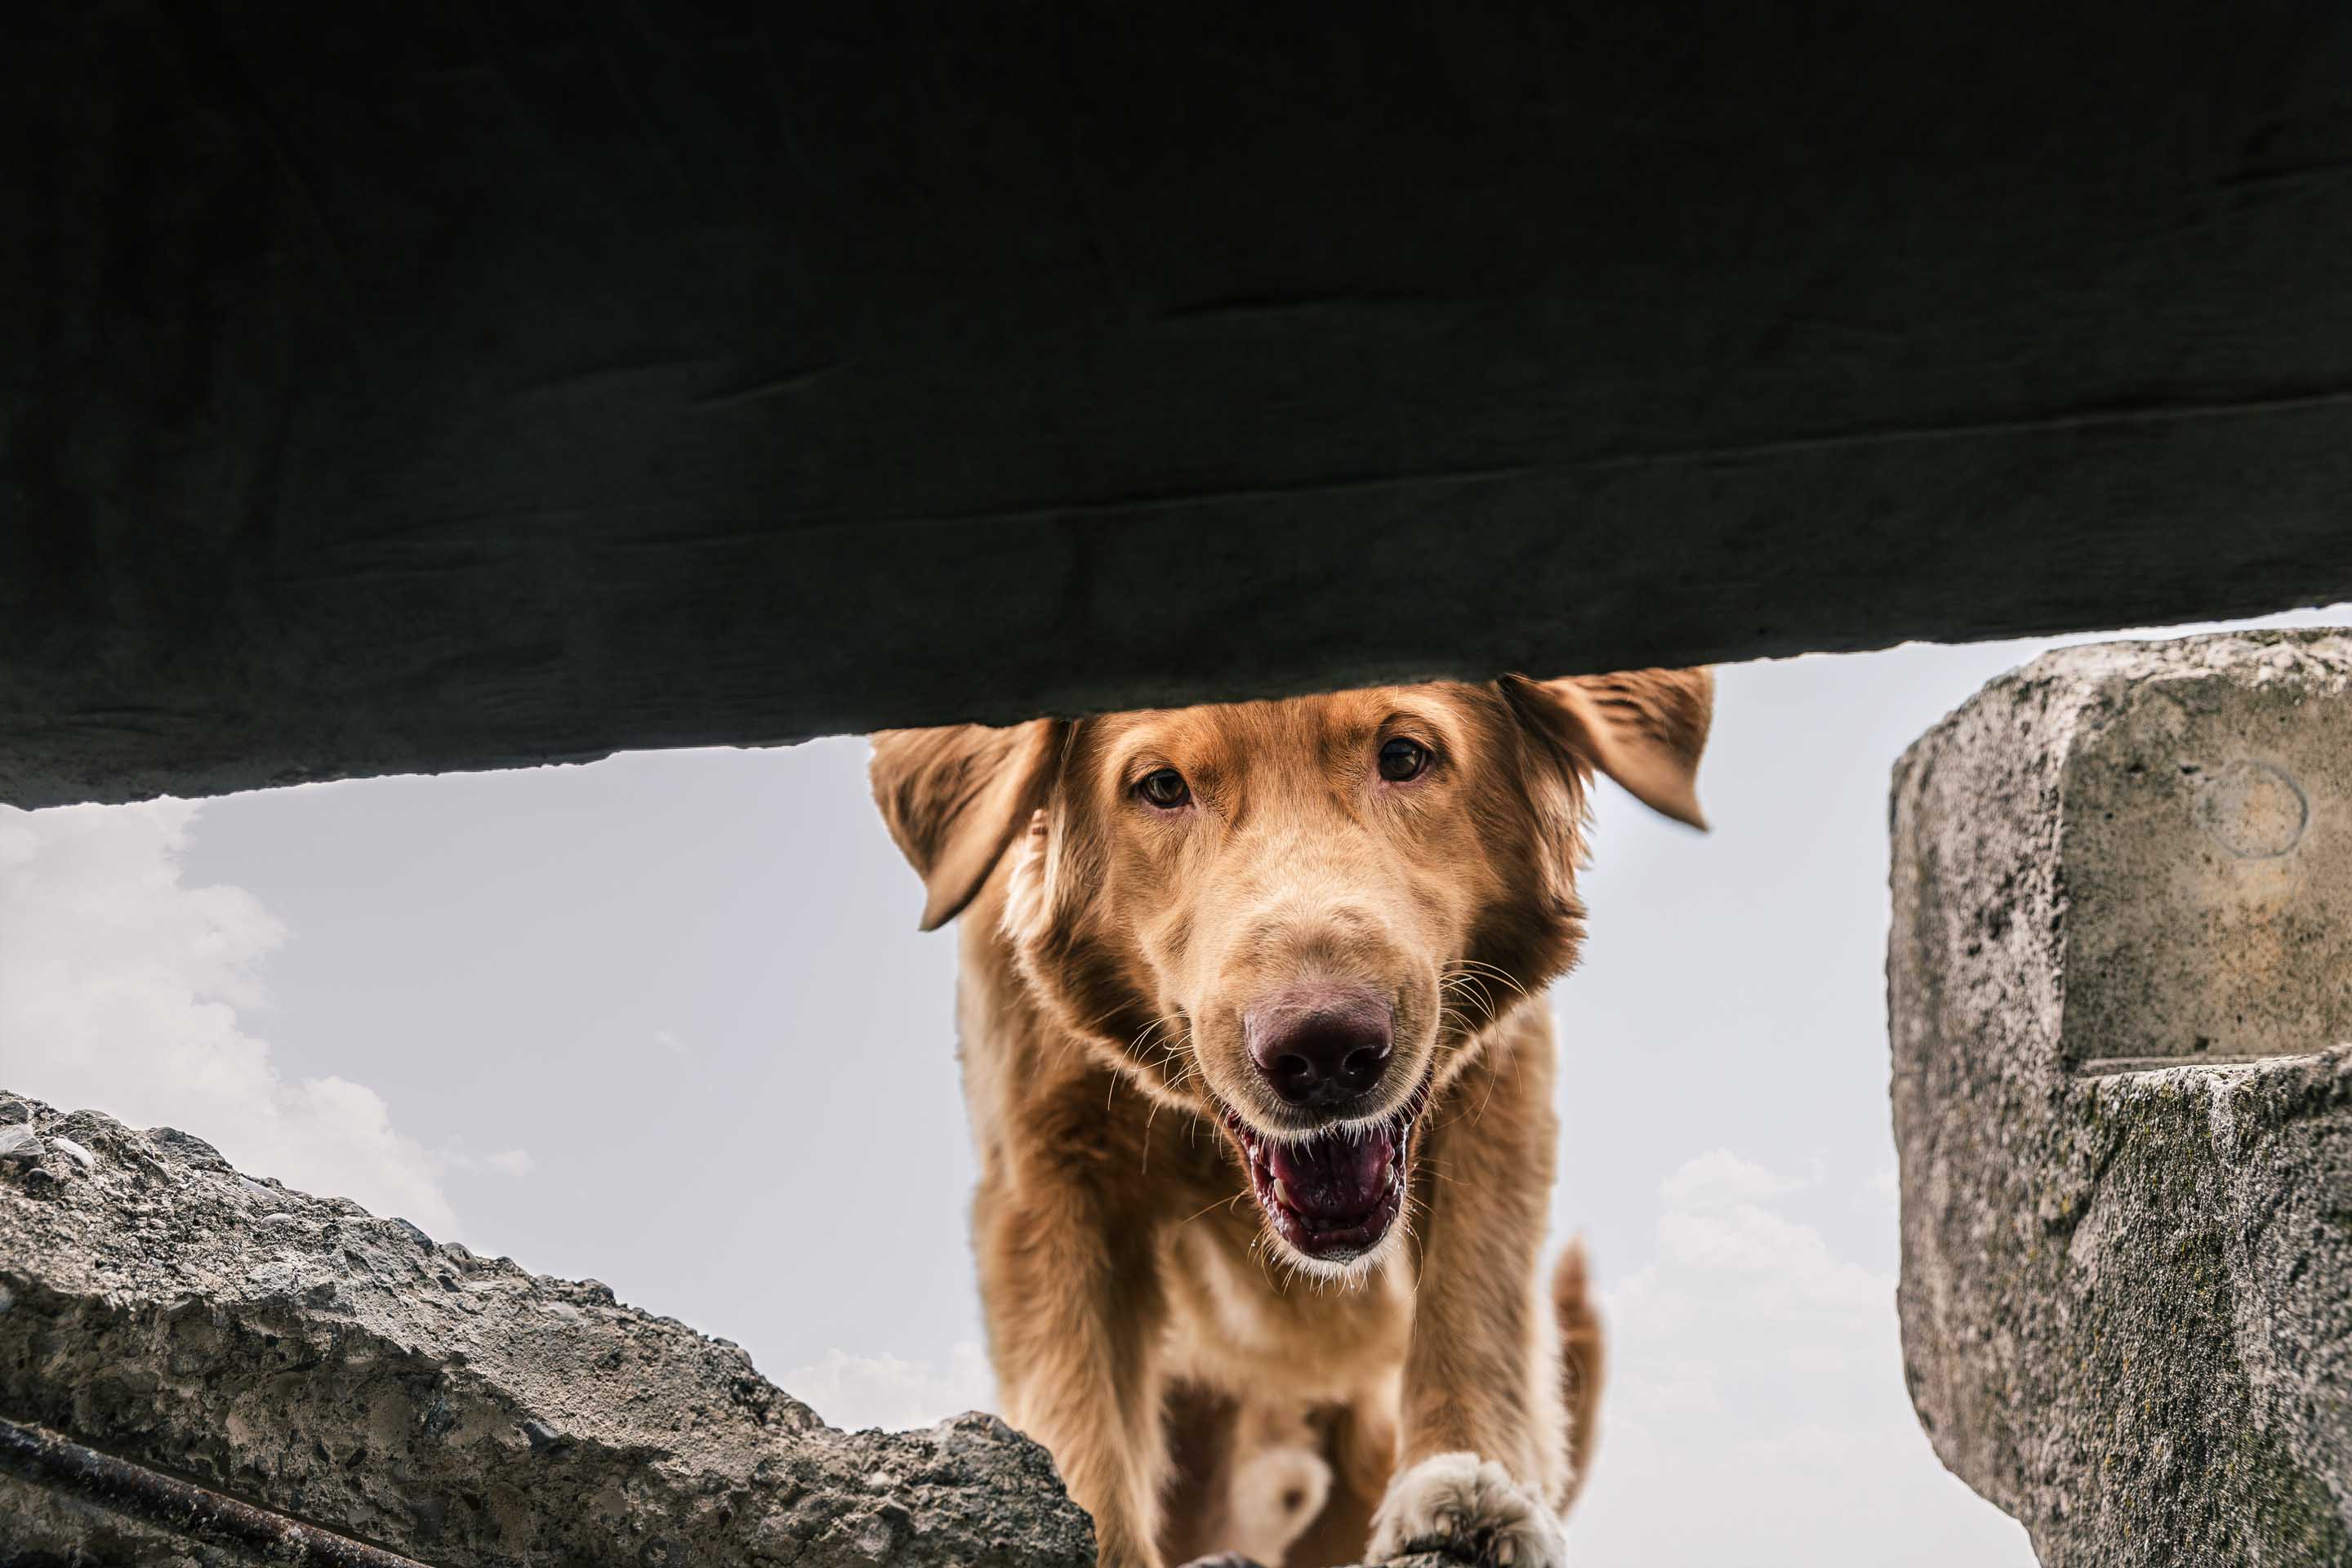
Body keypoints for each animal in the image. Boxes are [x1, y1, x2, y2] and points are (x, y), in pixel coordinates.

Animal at [865, 677, 1712, 1568]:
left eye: (1403, 756)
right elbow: (1081, 1399)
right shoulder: (1048, 1162)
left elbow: (1475, 1287)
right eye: (1162, 787)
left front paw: (1469, 1478)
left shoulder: (1497, 1079)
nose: (1325, 1052)